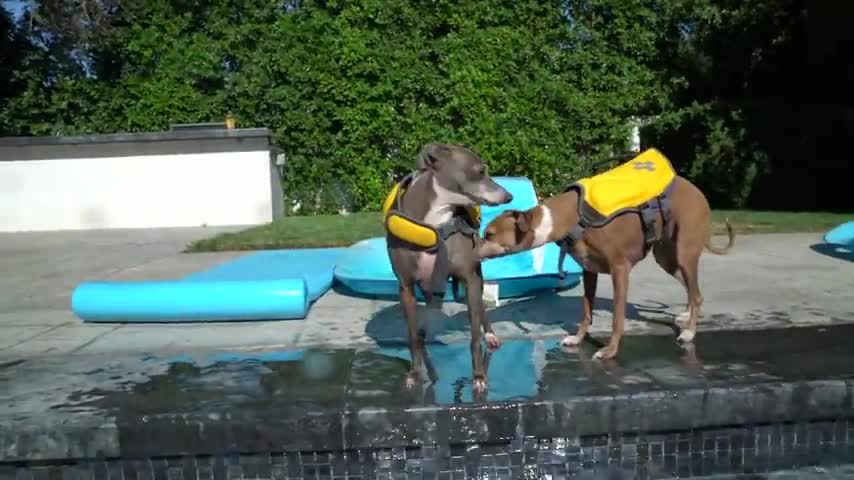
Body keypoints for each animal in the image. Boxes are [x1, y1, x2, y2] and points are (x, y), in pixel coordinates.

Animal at [482, 156, 736, 362]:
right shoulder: (589, 271)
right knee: (694, 293)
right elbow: (586, 312)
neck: (573, 217)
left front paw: (609, 351)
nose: (474, 249)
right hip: (666, 258)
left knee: (696, 293)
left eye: (489, 234)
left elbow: (617, 319)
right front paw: (577, 339)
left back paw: (689, 332)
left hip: (684, 254)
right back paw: (686, 315)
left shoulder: (620, 270)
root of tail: (696, 190)